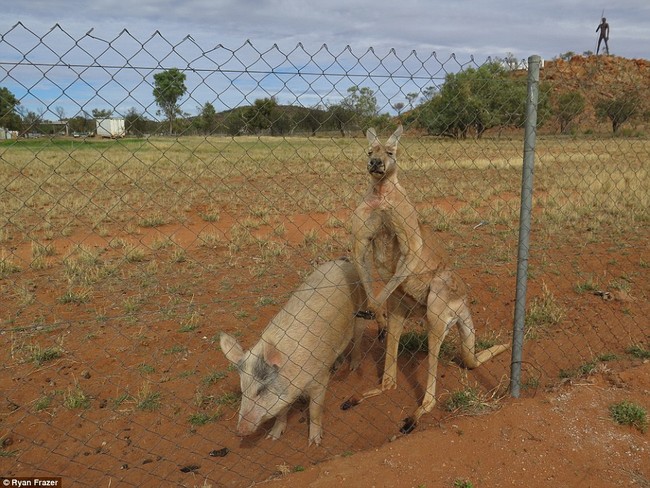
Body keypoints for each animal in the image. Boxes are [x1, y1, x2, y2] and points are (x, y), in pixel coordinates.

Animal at [220, 260, 364, 446]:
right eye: (243, 390)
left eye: (261, 390)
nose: (239, 431)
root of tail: (342, 261)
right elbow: (281, 412)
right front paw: (272, 437)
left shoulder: (319, 379)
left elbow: (315, 410)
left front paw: (314, 443)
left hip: (361, 310)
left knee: (358, 340)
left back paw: (353, 366)